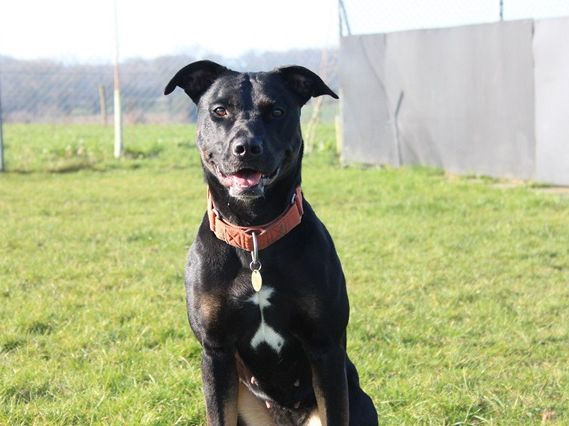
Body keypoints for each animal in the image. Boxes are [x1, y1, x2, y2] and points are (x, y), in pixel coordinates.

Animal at [165, 60, 378, 425]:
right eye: (219, 110)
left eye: (277, 111)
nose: (247, 147)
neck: (254, 235)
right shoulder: (216, 352)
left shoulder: (325, 349)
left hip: (360, 401)